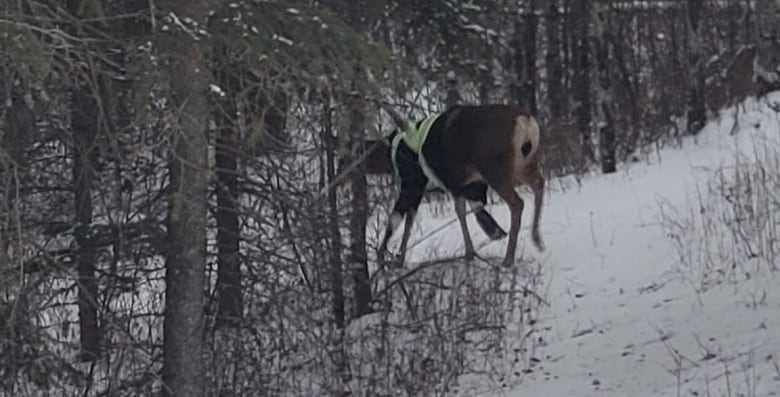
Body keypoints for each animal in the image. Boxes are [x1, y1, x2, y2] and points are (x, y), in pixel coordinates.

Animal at [364, 103, 544, 268]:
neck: (393, 153)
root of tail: (526, 122)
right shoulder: (464, 184)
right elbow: (460, 212)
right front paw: (474, 249)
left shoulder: (414, 182)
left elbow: (398, 218)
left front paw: (386, 258)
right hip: (523, 165)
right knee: (539, 183)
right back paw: (536, 238)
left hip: (494, 167)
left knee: (517, 203)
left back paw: (508, 259)